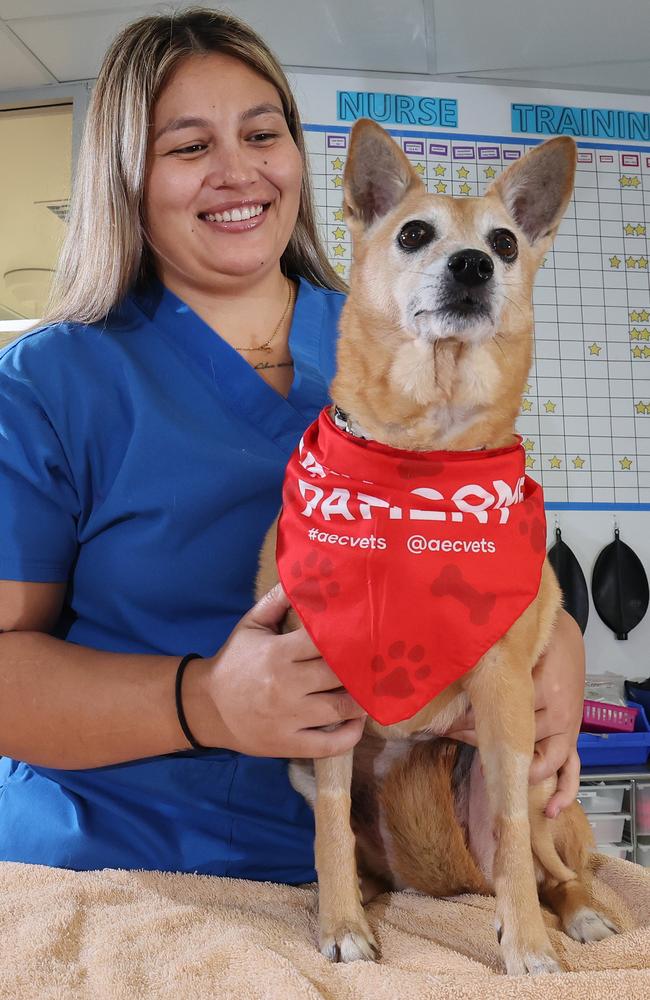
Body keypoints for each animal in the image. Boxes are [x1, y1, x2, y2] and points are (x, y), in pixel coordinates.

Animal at [256, 123, 616, 976]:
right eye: (415, 233)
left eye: (506, 243)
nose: (474, 265)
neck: (422, 463)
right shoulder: (319, 702)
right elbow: (327, 827)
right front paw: (342, 924)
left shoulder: (506, 699)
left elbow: (514, 843)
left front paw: (527, 947)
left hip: (537, 777)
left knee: (551, 866)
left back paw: (577, 916)